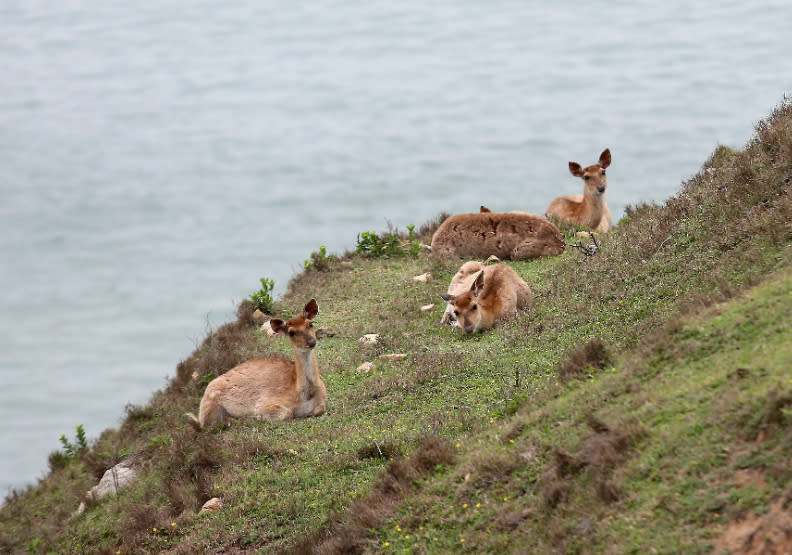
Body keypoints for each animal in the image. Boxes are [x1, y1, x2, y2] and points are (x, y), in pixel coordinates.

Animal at [187, 300, 326, 430]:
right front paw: (255, 418)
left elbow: (320, 409)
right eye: (291, 332)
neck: (304, 395)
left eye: (310, 324)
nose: (311, 342)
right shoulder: (265, 403)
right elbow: (287, 413)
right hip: (210, 405)